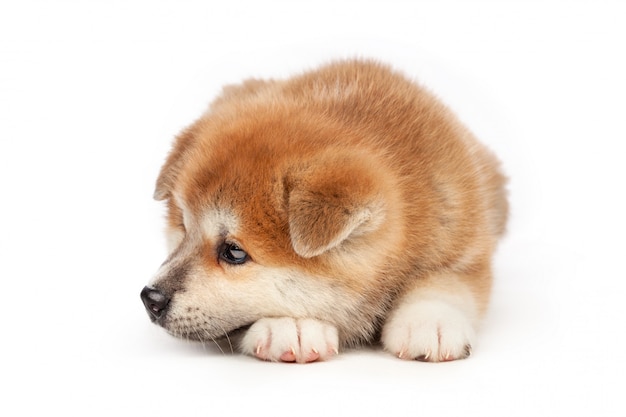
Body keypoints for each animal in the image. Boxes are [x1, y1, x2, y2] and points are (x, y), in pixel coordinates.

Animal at [139, 58, 504, 360]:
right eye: (183, 229)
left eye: (235, 252)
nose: (150, 298)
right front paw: (290, 325)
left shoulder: (464, 238)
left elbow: (447, 282)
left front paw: (430, 322)